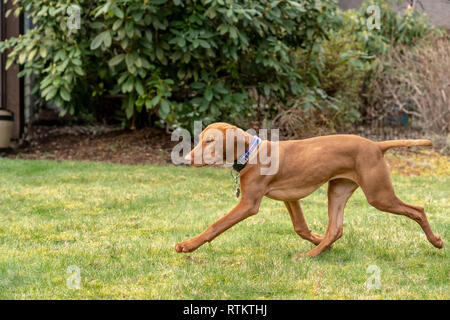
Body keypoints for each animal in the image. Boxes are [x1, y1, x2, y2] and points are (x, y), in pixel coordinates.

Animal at [175, 121, 442, 256]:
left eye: (210, 141)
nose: (186, 159)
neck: (252, 154)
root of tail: (376, 146)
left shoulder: (249, 204)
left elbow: (216, 225)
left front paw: (188, 245)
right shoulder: (290, 198)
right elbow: (300, 228)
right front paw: (316, 239)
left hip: (378, 195)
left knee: (417, 209)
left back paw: (436, 241)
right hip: (338, 189)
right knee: (335, 229)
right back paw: (317, 252)